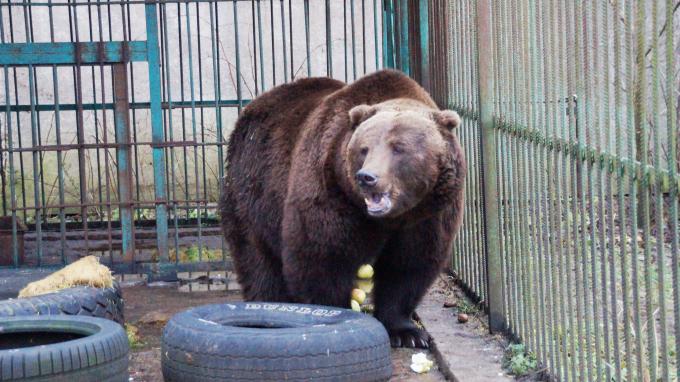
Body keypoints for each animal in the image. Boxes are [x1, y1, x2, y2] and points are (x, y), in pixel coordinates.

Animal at [220, 67, 464, 348]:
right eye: (364, 148)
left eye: (399, 148)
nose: (367, 177)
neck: (391, 218)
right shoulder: (333, 191)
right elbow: (322, 257)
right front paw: (336, 314)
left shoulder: (427, 214)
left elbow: (409, 265)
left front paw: (408, 333)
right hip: (253, 191)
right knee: (257, 259)